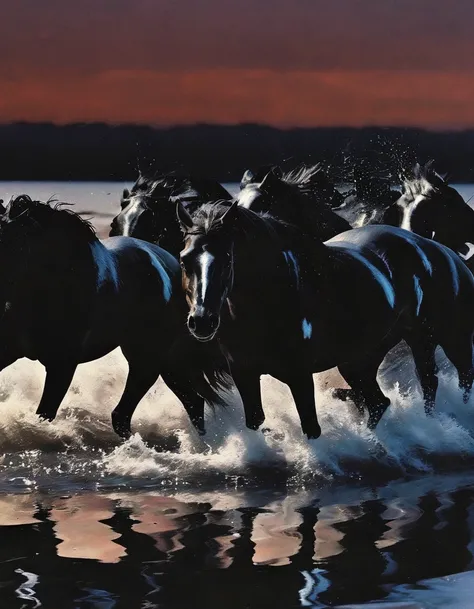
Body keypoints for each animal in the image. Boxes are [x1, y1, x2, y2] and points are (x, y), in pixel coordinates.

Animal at [0, 195, 231, 436]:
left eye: (13, 243)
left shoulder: (62, 364)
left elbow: (45, 413)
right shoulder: (9, 350)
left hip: (146, 359)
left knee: (124, 415)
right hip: (168, 363)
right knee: (191, 401)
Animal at [176, 202, 474, 440]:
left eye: (227, 259)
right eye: (184, 260)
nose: (201, 322)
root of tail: (445, 253)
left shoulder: (299, 374)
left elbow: (311, 428)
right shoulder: (243, 371)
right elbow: (255, 420)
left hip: (439, 338)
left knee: (448, 379)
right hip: (360, 359)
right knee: (382, 401)